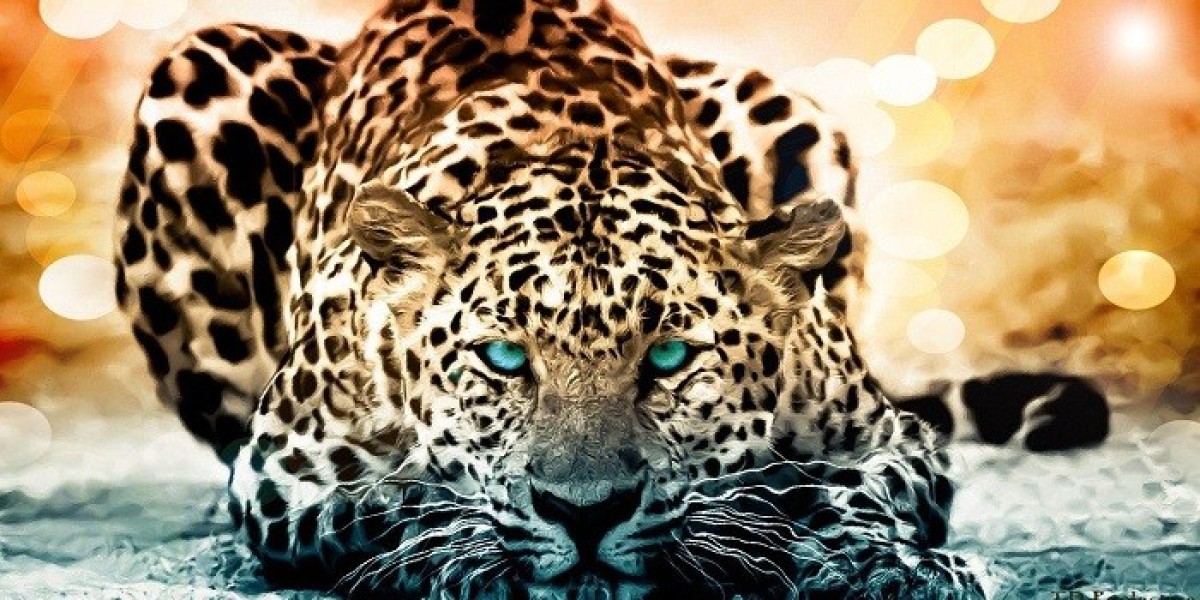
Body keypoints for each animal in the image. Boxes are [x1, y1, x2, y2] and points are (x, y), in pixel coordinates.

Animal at [113, 1, 1110, 598]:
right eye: (503, 358)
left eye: (668, 357)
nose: (586, 513)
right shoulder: (282, 473)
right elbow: (400, 500)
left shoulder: (886, 436)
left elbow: (846, 486)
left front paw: (876, 562)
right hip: (201, 71)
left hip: (785, 110)